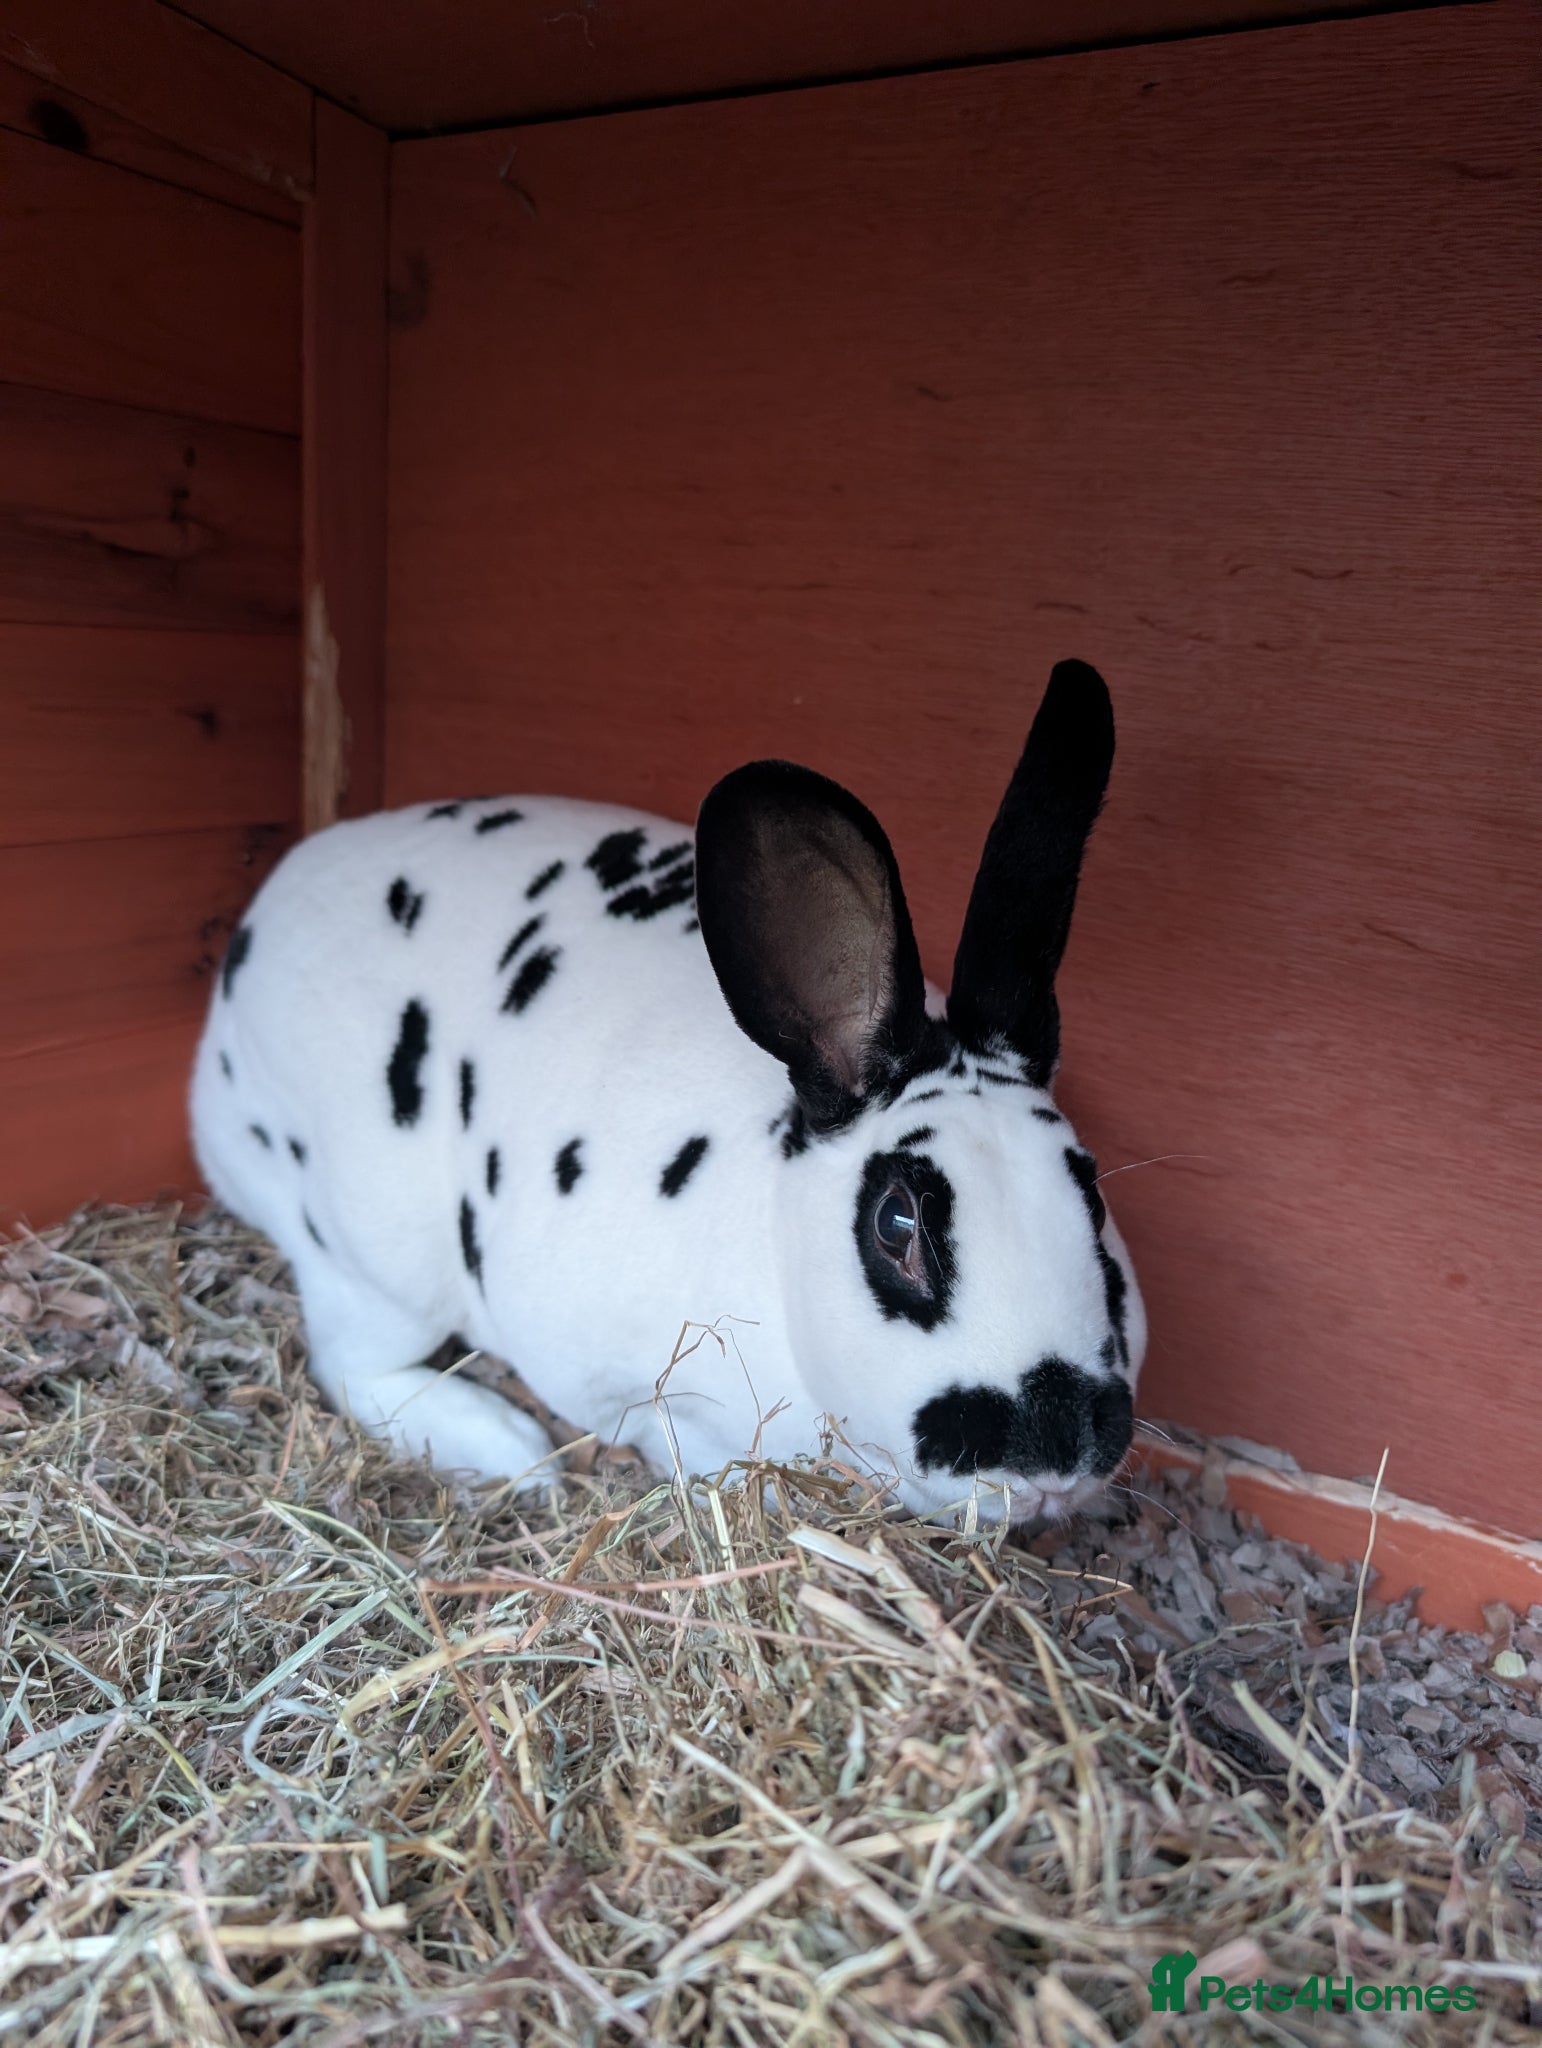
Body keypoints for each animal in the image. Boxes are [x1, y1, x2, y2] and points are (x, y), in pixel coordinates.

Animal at [190, 657, 1145, 1525]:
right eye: (897, 1224)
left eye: (1090, 1193)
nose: (1055, 1451)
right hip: (376, 1252)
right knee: (351, 1362)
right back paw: (515, 1454)